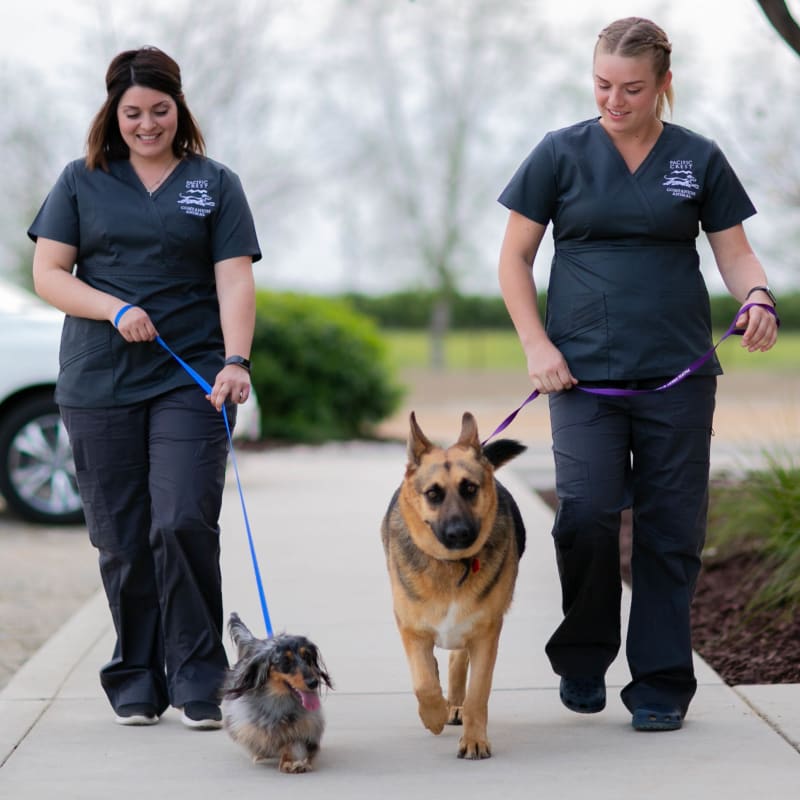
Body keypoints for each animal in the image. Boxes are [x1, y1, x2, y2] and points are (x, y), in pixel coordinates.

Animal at [382, 410, 524, 760]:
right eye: (433, 494)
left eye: (470, 488)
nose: (459, 533)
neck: (451, 565)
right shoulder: (410, 628)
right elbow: (424, 682)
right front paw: (432, 715)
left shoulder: (486, 633)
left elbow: (478, 694)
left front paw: (474, 739)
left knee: (458, 661)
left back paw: (456, 706)